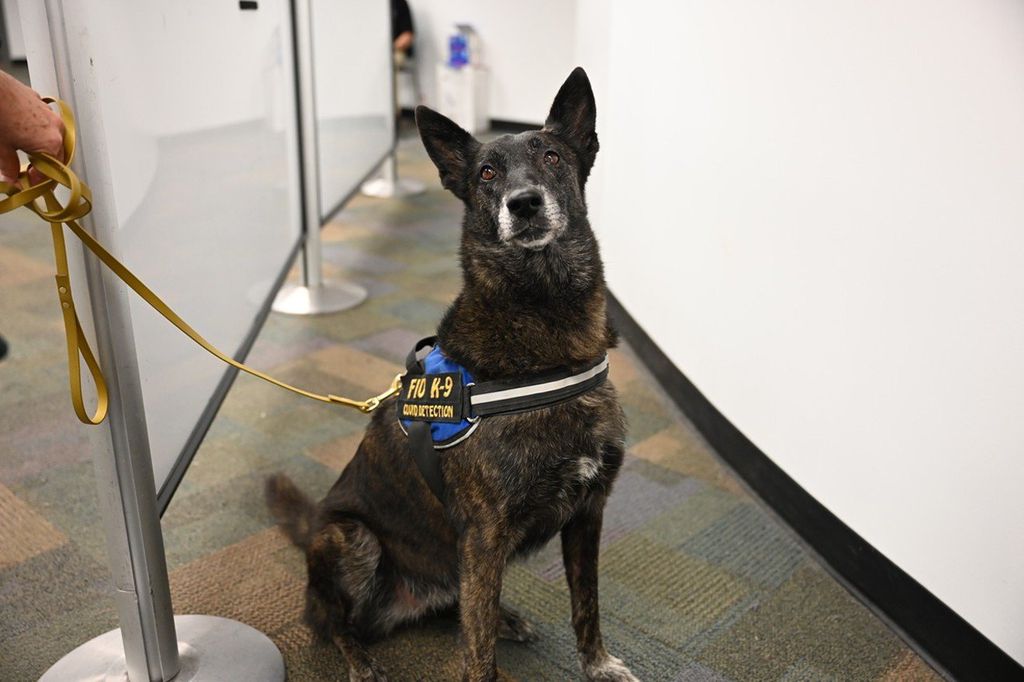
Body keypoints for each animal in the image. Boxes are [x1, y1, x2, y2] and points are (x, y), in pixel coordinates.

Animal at [268, 65, 634, 679]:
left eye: (552, 157)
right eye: (487, 172)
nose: (524, 203)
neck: (546, 326)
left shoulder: (588, 513)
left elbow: (588, 604)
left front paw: (597, 663)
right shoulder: (484, 536)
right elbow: (477, 654)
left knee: (456, 609)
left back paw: (504, 617)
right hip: (352, 537)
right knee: (333, 621)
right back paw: (360, 659)